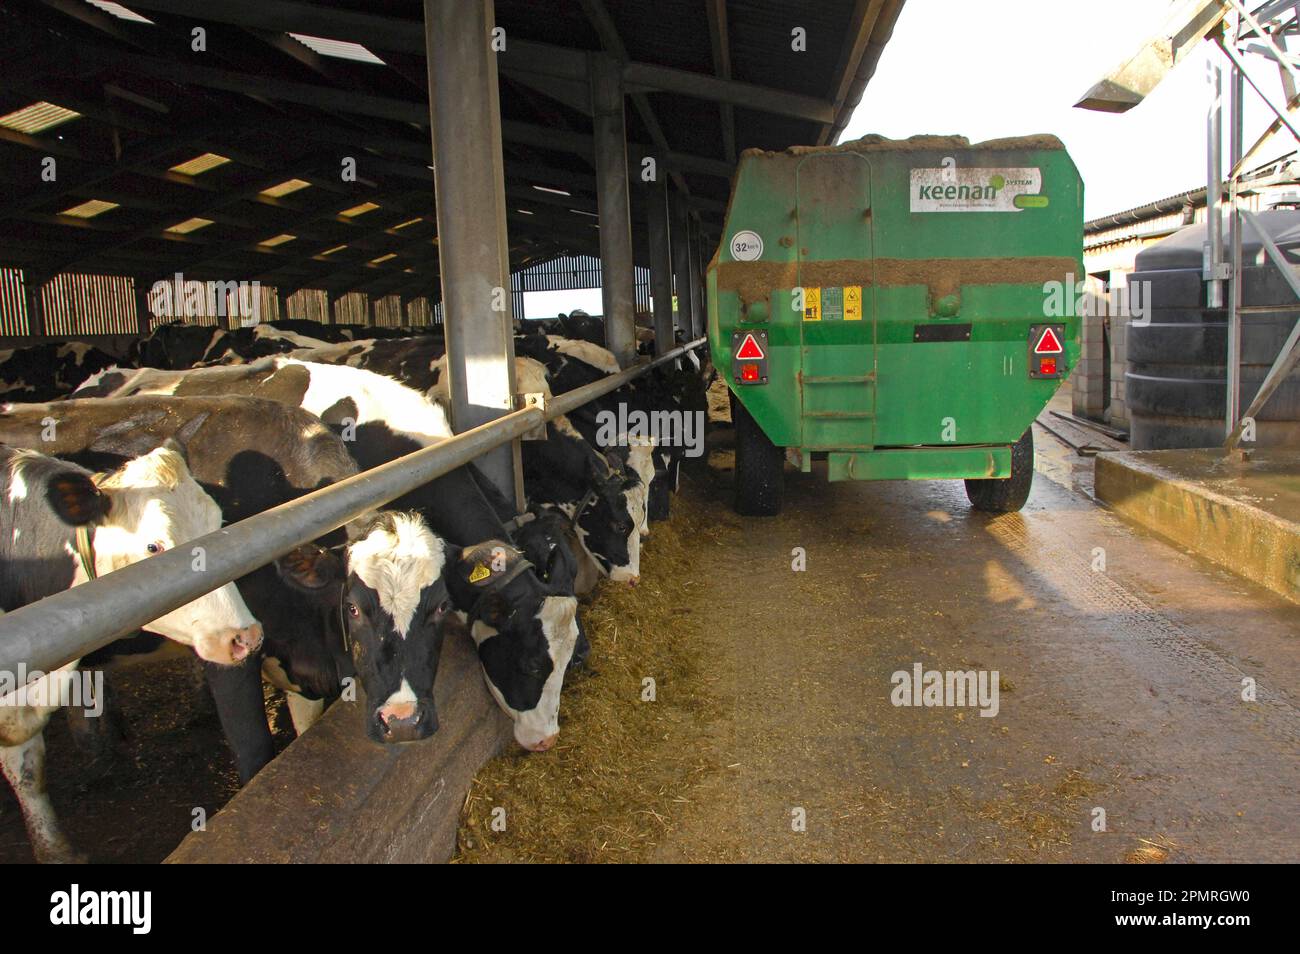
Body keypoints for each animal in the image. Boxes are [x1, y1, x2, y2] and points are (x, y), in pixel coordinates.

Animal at [0, 444, 258, 863]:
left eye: (220, 526)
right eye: (153, 547)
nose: (244, 637)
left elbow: (29, 767)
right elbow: (24, 770)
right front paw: (56, 850)